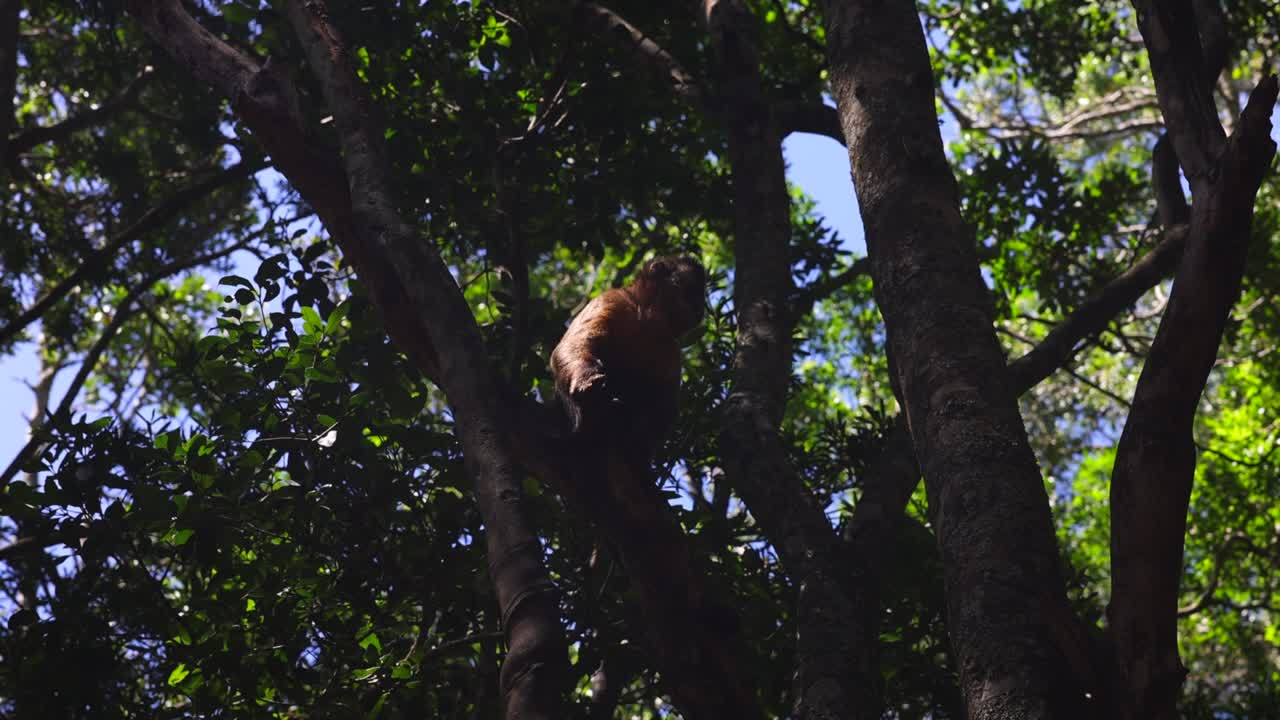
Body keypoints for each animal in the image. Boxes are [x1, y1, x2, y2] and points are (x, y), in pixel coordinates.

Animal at [550, 255, 706, 457]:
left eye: (700, 295)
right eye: (693, 292)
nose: (701, 309)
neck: (646, 318)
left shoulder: (670, 344)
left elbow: (664, 410)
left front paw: (638, 437)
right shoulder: (612, 299)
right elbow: (572, 345)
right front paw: (586, 378)